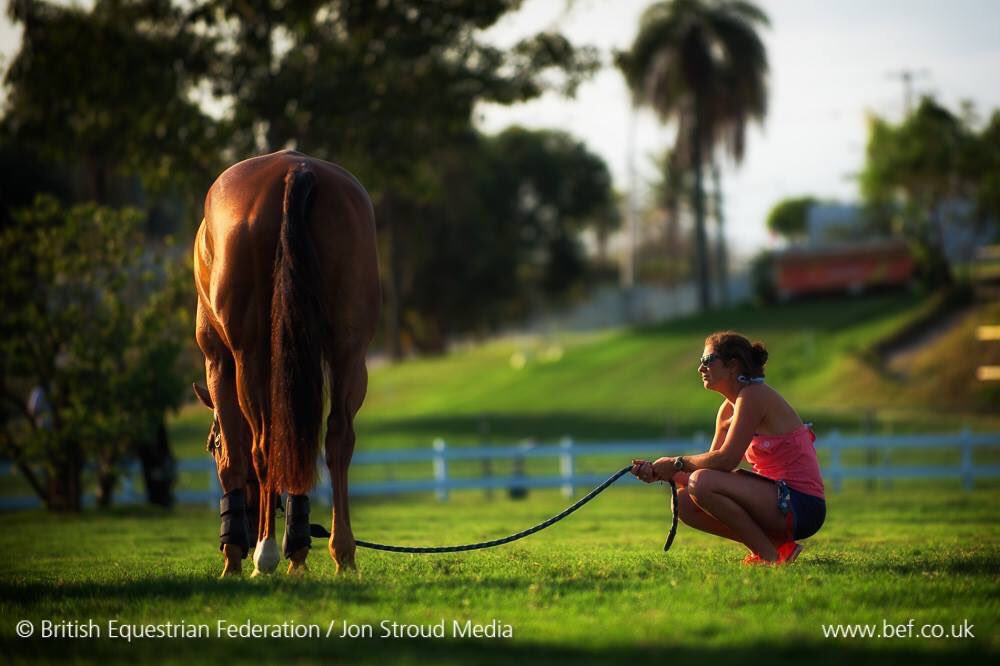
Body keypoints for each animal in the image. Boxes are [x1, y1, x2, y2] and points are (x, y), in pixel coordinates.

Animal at [191, 149, 380, 576]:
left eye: (210, 446)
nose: (240, 537)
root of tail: (297, 170)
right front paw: (298, 552)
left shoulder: (220, 360)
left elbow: (237, 458)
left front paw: (234, 558)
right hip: (348, 350)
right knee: (337, 437)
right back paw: (342, 552)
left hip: (248, 356)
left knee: (262, 447)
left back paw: (265, 552)